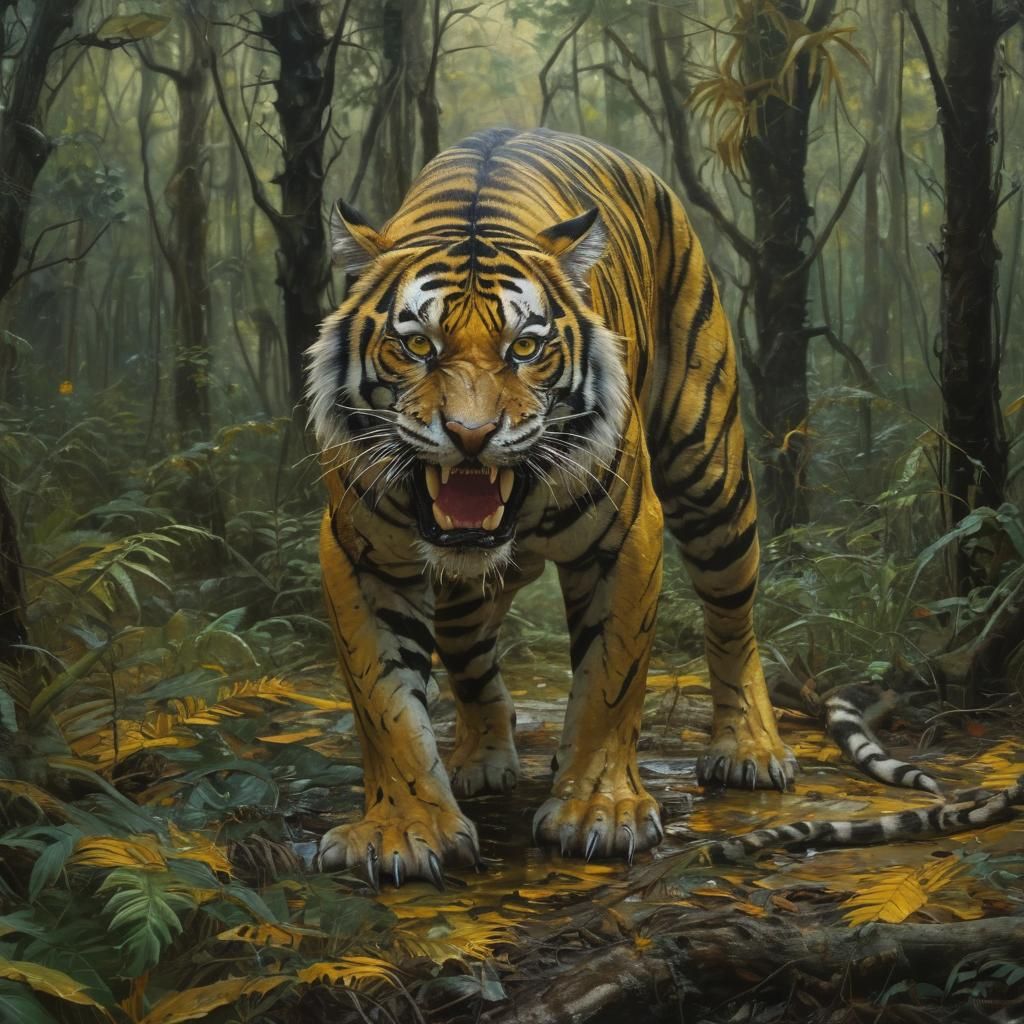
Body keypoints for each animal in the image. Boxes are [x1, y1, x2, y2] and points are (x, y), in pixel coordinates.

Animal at [306, 127, 797, 887]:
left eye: (525, 347)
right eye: (417, 344)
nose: (470, 434)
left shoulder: (627, 538)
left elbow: (609, 684)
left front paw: (600, 811)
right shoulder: (359, 556)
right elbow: (382, 702)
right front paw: (404, 830)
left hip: (708, 472)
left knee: (732, 618)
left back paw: (748, 747)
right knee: (468, 648)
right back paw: (481, 757)